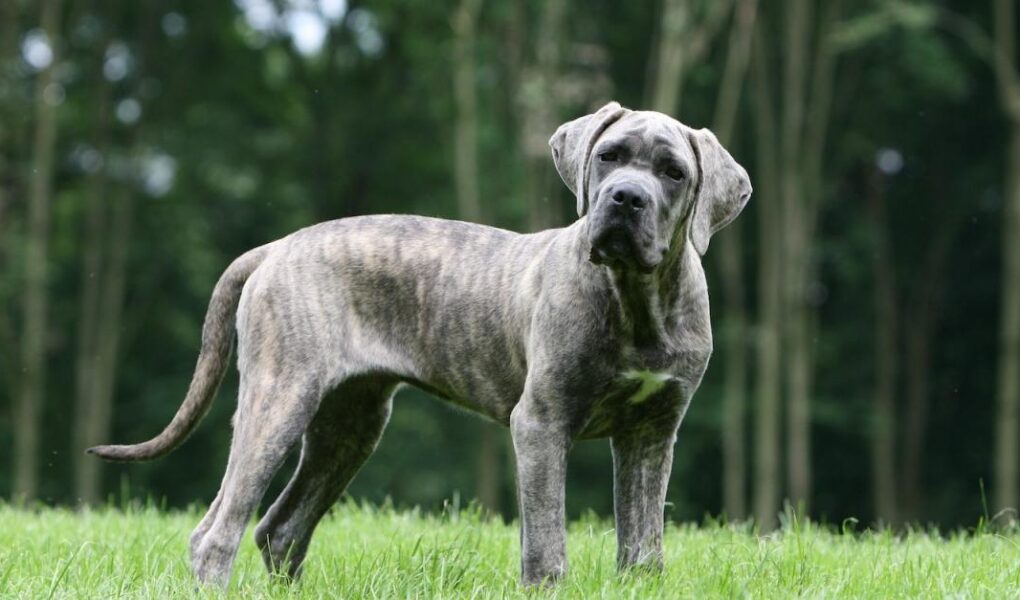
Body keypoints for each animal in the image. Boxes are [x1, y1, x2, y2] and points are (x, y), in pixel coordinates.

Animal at [89, 102, 750, 587]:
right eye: (609, 158)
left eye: (673, 173)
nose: (625, 198)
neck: (637, 301)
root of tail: (277, 246)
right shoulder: (541, 423)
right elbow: (547, 543)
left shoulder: (651, 434)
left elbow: (643, 544)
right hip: (279, 400)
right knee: (217, 531)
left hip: (349, 425)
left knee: (281, 527)